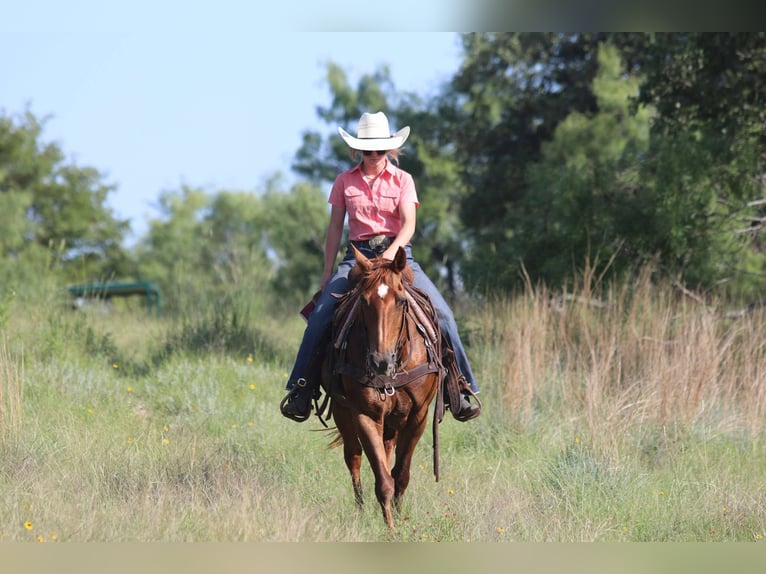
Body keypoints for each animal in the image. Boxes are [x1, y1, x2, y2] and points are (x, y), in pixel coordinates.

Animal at [319, 245, 445, 530]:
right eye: (364, 302)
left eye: (401, 301)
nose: (380, 362)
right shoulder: (365, 415)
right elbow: (384, 481)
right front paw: (390, 528)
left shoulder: (418, 417)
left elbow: (401, 475)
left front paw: (399, 518)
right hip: (343, 412)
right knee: (353, 457)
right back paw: (360, 511)